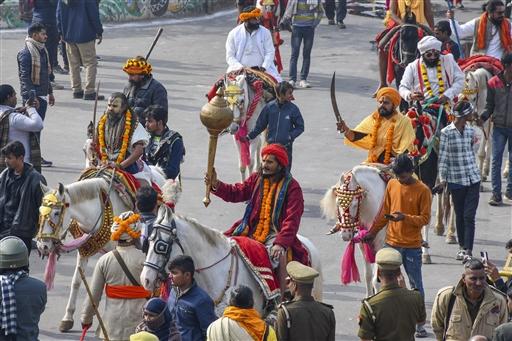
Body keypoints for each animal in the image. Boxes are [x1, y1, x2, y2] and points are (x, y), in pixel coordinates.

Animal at [36, 171, 173, 330]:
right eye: (40, 211)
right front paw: (67, 318)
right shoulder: (83, 250)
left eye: (57, 213)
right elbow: (76, 281)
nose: (42, 246)